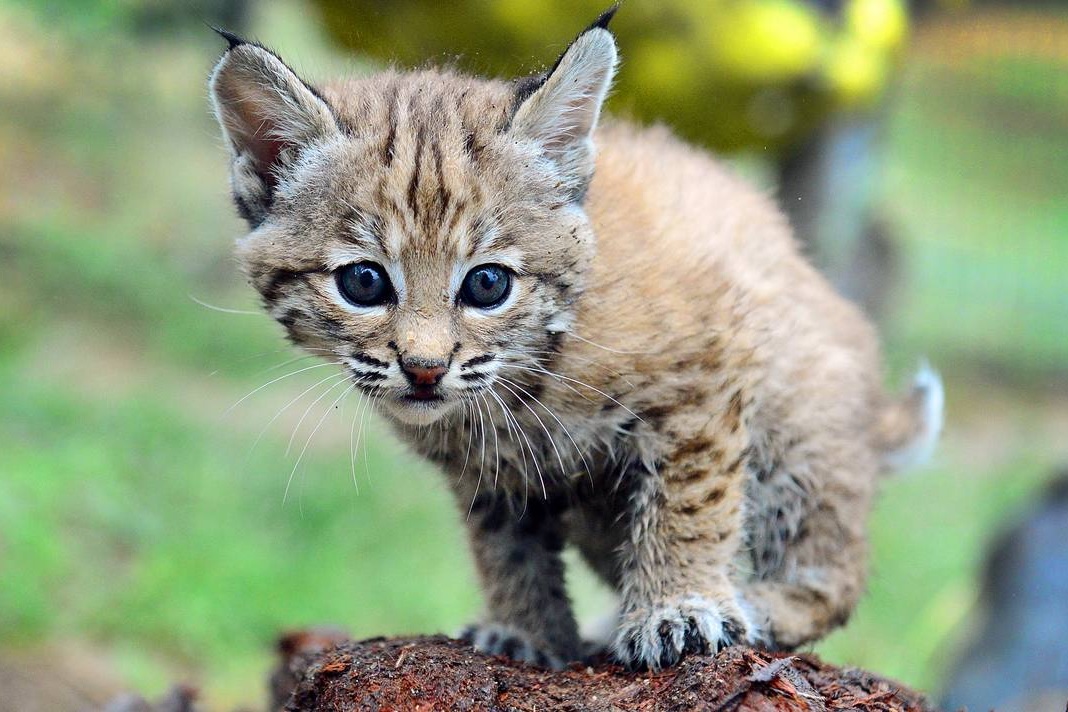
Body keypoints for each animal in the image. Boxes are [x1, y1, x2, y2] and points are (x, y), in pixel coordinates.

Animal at [208, 8, 944, 670]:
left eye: (487, 285)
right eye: (362, 282)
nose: (424, 369)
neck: (528, 375)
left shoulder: (706, 381)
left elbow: (690, 504)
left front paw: (680, 608)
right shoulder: (486, 470)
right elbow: (504, 547)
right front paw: (526, 633)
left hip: (797, 427)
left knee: (836, 574)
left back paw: (754, 603)